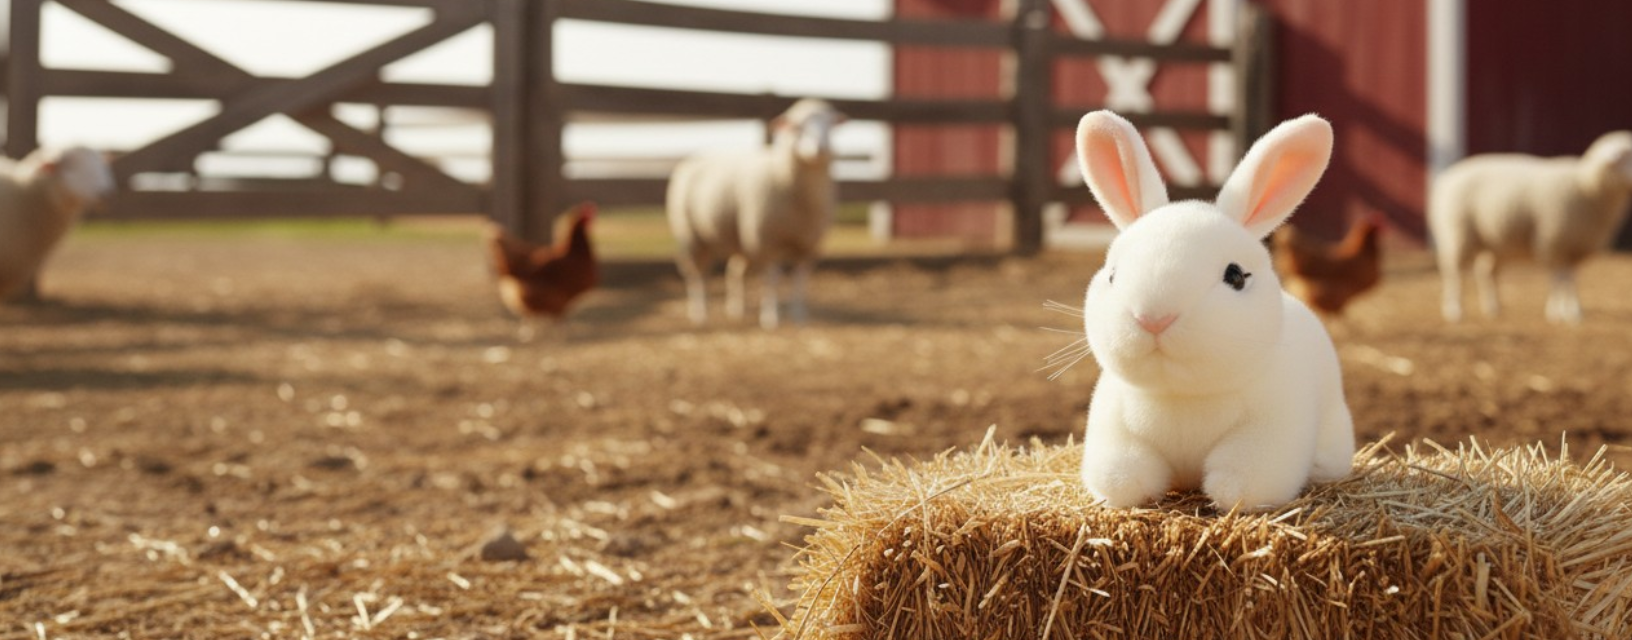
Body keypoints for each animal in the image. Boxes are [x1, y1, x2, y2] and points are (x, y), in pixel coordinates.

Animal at [1073, 110, 1355, 513]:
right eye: (1112, 275)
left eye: (1235, 276)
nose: (1154, 319)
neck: (1183, 398)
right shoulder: (1116, 430)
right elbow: (1123, 477)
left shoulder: (1269, 433)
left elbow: (1239, 482)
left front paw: (1224, 491)